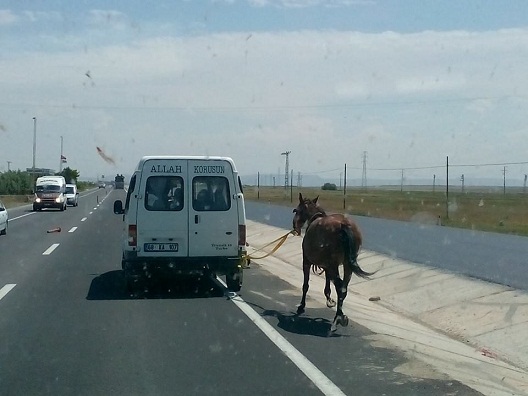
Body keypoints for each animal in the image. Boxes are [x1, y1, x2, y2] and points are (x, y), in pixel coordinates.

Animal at [290, 192, 374, 332]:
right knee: (343, 288)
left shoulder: (306, 262)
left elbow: (305, 285)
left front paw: (301, 306)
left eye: (296, 210)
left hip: (334, 265)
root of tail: (343, 225)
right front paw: (329, 300)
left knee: (340, 287)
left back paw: (338, 318)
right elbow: (328, 284)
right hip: (346, 265)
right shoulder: (327, 266)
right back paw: (340, 316)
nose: (295, 227)